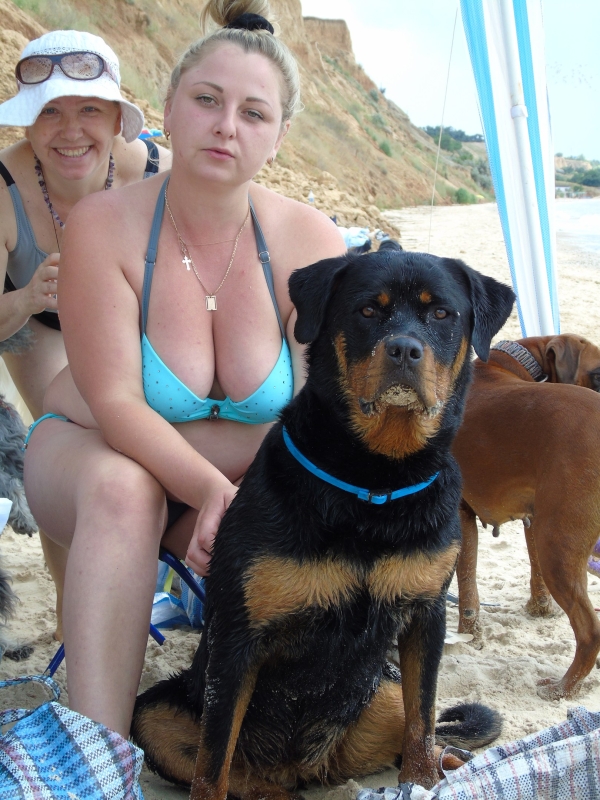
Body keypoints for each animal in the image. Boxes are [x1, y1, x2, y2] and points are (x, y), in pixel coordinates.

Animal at [132, 250, 513, 796]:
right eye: (368, 311)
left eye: (441, 314)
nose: (404, 349)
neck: (373, 478)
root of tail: (307, 770)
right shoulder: (238, 637)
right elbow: (213, 759)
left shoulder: (426, 614)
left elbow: (422, 718)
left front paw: (422, 781)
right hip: (159, 711)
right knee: (229, 768)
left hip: (382, 691)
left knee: (428, 735)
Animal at [453, 334, 600, 700]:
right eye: (599, 373)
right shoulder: (534, 520)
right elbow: (533, 572)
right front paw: (539, 610)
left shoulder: (462, 514)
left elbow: (467, 584)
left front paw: (469, 634)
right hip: (556, 540)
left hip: (558, 549)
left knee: (589, 631)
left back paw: (563, 689)